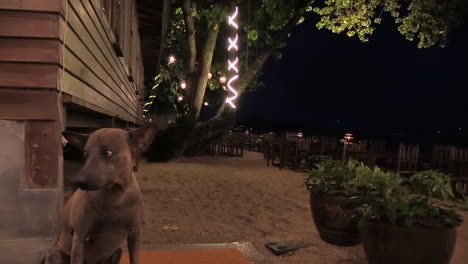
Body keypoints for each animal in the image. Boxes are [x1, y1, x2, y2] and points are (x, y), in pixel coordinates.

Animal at [43, 124, 158, 264]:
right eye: (85, 154)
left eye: (107, 152)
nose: (79, 181)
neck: (115, 198)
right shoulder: (80, 237)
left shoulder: (135, 234)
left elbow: (134, 259)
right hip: (55, 253)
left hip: (117, 252)